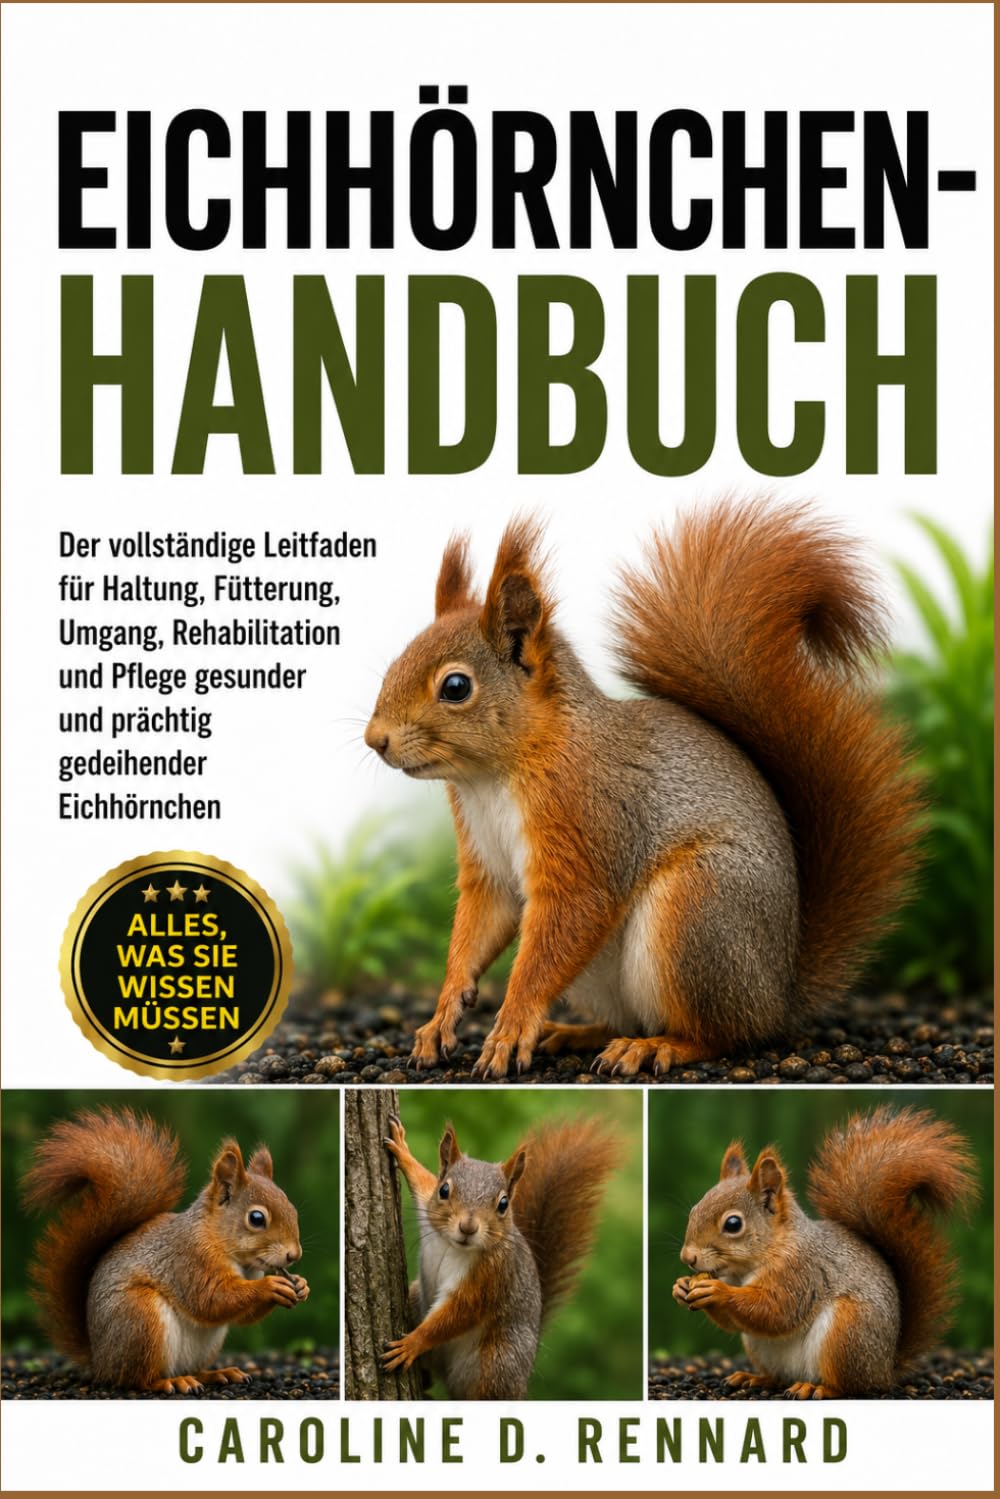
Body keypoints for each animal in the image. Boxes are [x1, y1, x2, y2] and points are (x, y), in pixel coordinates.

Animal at [22, 1107, 310, 1394]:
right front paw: (270, 1287)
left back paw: (216, 1374)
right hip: (140, 1319)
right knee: (138, 1379)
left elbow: (241, 1315)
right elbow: (211, 1299)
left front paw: (301, 1285)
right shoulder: (189, 1261)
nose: (294, 1255)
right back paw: (170, 1381)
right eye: (257, 1218)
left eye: (293, 1209)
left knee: (190, 1369)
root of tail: (101, 1361)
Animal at [364, 497, 920, 1080]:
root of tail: (778, 996)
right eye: (397, 662)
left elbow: (568, 921)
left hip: (699, 912)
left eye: (455, 686)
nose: (375, 740)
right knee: (631, 1018)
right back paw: (576, 1034)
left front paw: (511, 1026)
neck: (491, 777)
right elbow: (476, 930)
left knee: (721, 1034)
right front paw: (442, 1015)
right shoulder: (486, 866)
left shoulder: (587, 824)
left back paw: (657, 1047)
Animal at [382, 1114, 619, 1399]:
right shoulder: (427, 1208)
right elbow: (421, 1178)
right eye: (444, 1191)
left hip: (497, 1363)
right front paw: (402, 1149)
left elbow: (459, 1313)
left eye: (504, 1204)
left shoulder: (491, 1276)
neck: (453, 1246)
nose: (468, 1228)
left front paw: (412, 1343)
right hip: (418, 1297)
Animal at [672, 1106, 977, 1399]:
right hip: (761, 1347)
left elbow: (776, 1310)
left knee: (849, 1386)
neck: (749, 1266)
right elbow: (737, 1322)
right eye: (694, 1210)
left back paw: (818, 1388)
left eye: (733, 1224)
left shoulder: (801, 1272)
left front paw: (717, 1292)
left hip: (847, 1333)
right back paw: (756, 1378)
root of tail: (885, 1370)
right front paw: (681, 1286)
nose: (688, 1258)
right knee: (778, 1377)